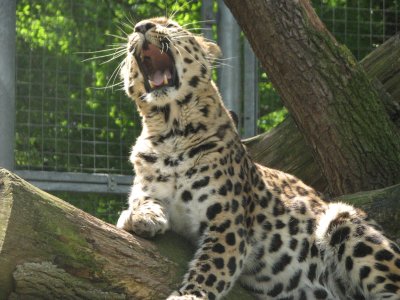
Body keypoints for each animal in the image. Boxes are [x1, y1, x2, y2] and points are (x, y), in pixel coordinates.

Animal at [116, 17, 400, 300]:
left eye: (170, 25)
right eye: (134, 32)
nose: (142, 26)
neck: (170, 132)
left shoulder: (229, 223)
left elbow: (211, 267)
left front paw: (189, 295)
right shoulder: (147, 185)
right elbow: (142, 199)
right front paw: (139, 217)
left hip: (346, 222)